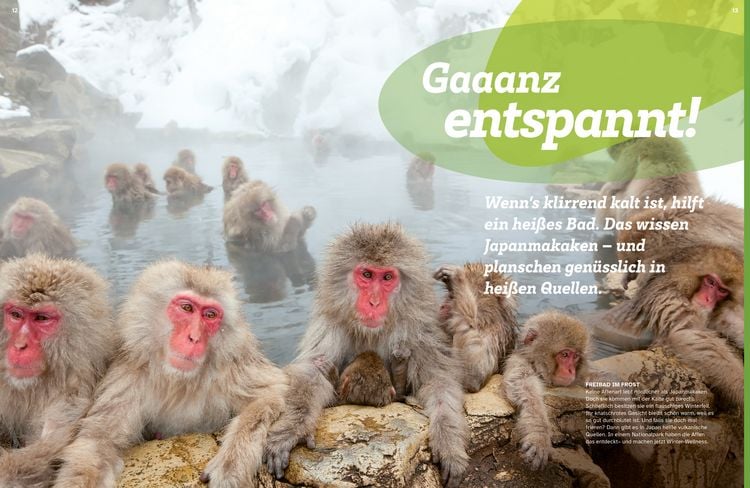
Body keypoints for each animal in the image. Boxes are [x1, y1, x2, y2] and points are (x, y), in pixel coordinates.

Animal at [54, 260, 288, 488]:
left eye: (210, 315)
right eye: (187, 308)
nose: (194, 337)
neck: (179, 380)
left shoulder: (231, 369)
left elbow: (271, 394)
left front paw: (230, 466)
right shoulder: (128, 378)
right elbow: (97, 443)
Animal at [264, 222, 469, 487]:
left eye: (388, 277)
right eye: (367, 275)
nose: (373, 302)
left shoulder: (419, 330)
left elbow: (438, 380)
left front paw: (448, 442)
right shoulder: (331, 324)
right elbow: (312, 371)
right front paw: (291, 430)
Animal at [434, 263, 519, 393]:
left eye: (453, 295)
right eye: (449, 294)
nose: (442, 306)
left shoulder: (493, 334)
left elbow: (472, 376)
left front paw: (458, 278)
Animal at [503, 311, 591, 470]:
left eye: (576, 356)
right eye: (565, 355)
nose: (571, 370)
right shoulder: (519, 363)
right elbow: (524, 390)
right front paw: (539, 435)